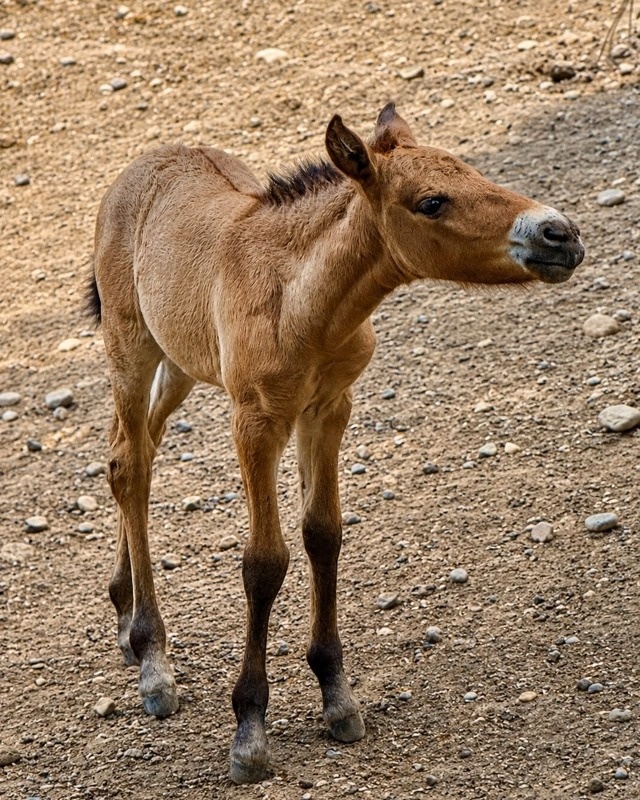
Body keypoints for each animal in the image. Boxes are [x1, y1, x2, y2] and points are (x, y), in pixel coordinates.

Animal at [89, 102, 584, 784]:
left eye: (473, 169)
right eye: (431, 202)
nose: (560, 234)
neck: (301, 302)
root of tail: (140, 167)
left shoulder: (327, 409)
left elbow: (323, 535)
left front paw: (337, 697)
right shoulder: (256, 421)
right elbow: (264, 562)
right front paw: (249, 731)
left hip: (182, 361)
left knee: (136, 454)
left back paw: (123, 613)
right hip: (129, 348)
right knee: (129, 465)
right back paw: (151, 657)